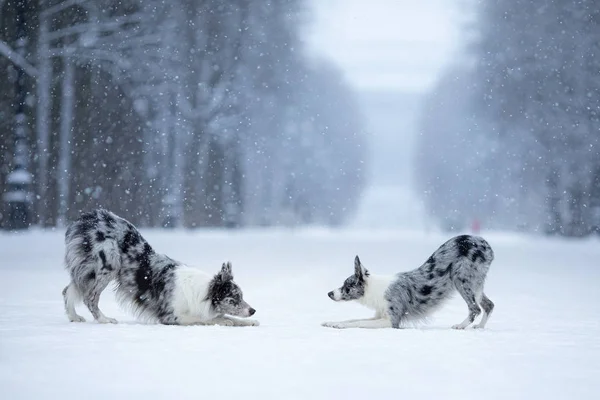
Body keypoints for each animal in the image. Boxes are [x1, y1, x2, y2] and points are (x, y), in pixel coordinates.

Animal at [63, 208, 260, 326]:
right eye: (233, 298)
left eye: (242, 296)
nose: (253, 310)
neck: (202, 293)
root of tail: (91, 217)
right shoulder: (171, 315)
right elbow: (209, 318)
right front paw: (225, 322)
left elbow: (225, 315)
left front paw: (250, 322)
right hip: (107, 264)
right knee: (89, 297)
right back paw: (104, 319)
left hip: (89, 269)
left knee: (68, 290)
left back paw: (74, 317)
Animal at [324, 234, 496, 328]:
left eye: (347, 285)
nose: (329, 293)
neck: (375, 289)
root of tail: (484, 242)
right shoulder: (379, 315)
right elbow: (353, 319)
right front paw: (331, 322)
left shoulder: (391, 322)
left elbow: (357, 323)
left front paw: (339, 324)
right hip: (474, 284)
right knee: (489, 305)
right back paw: (479, 327)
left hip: (460, 279)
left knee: (475, 308)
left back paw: (461, 326)